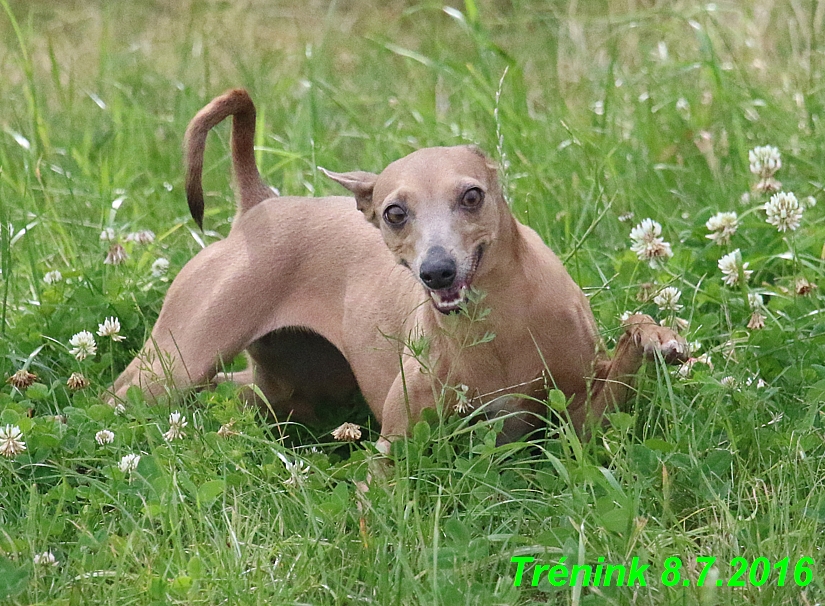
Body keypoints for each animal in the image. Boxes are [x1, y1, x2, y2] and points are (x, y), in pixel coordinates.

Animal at [112, 89, 684, 452]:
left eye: (471, 196)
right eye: (394, 212)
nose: (438, 272)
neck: (497, 325)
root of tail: (260, 204)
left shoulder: (583, 417)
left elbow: (629, 351)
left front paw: (656, 335)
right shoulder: (397, 448)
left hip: (281, 392)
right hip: (174, 367)